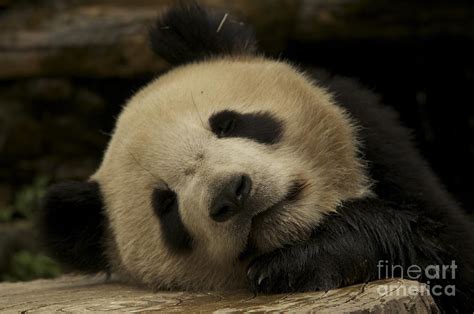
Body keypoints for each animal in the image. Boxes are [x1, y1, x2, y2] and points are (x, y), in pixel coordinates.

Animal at [38, 1, 474, 312]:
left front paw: (295, 264)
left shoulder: (387, 150)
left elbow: (447, 248)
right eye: (165, 206)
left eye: (228, 123)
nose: (231, 193)